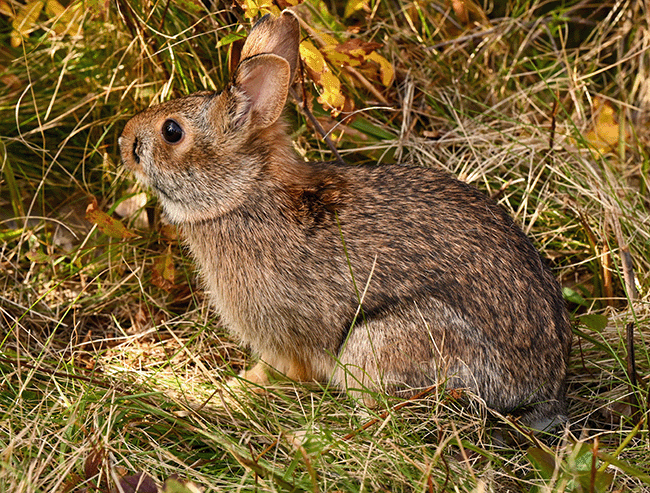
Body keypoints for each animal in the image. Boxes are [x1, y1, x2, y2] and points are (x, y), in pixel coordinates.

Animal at [119, 9, 568, 428]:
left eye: (172, 132)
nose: (124, 141)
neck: (244, 193)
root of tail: (543, 387)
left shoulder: (283, 336)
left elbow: (277, 370)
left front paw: (232, 390)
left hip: (377, 344)